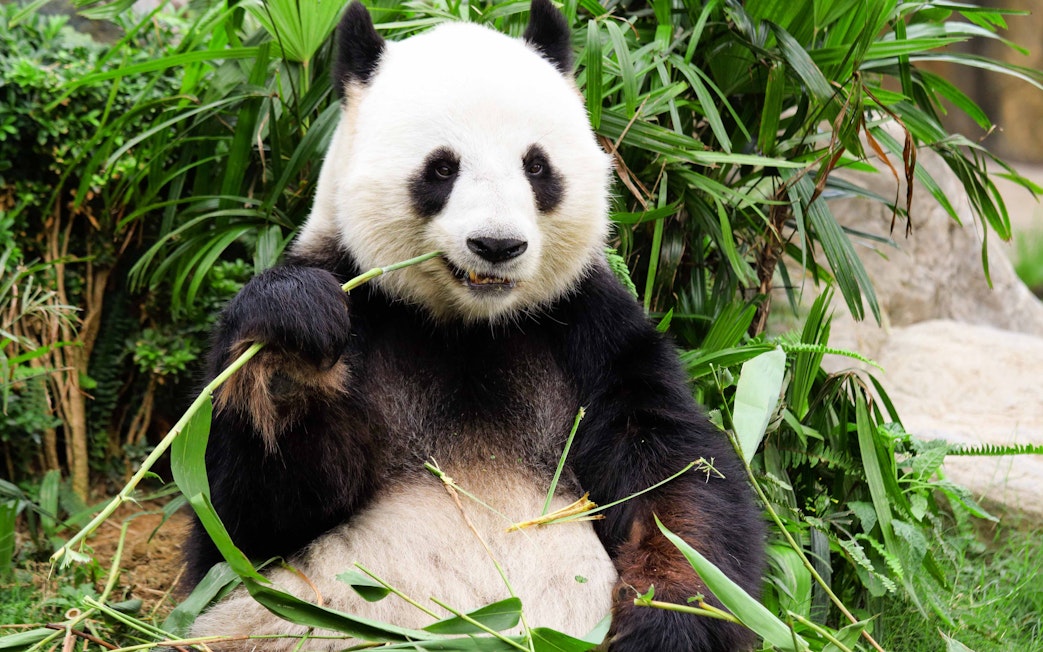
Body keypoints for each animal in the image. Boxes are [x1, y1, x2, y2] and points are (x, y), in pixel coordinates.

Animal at [183, 1, 764, 650]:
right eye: (441, 169)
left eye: (537, 166)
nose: (497, 245)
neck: (468, 328)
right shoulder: (362, 299)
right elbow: (241, 523)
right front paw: (290, 346)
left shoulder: (590, 329)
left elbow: (676, 479)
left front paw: (670, 620)